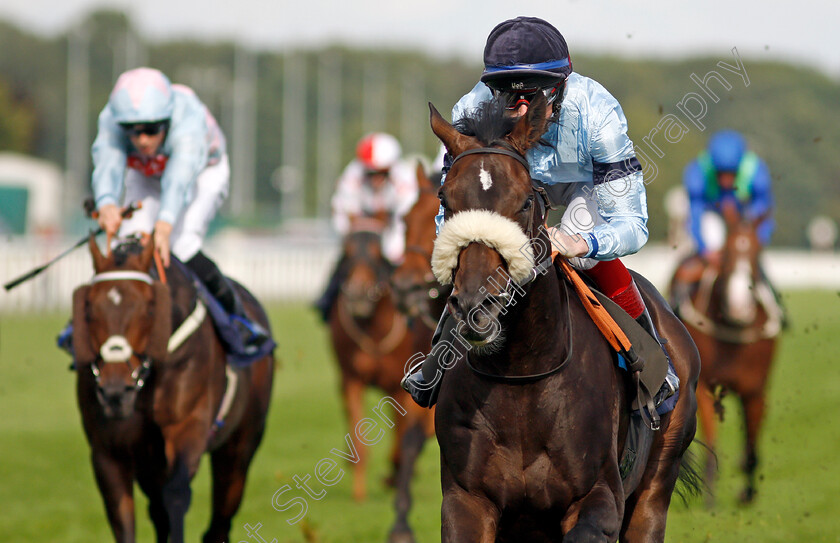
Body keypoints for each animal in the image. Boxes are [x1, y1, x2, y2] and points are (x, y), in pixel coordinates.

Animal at [72, 238, 274, 543]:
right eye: (88, 309)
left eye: (149, 308)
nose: (115, 392)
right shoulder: (109, 451)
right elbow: (124, 515)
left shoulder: (188, 428)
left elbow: (176, 496)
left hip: (240, 446)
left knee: (220, 518)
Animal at [328, 219, 434, 540]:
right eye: (347, 251)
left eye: (377, 254)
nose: (358, 295)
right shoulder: (351, 380)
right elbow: (360, 440)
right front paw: (359, 493)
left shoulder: (401, 390)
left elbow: (403, 442)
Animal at [426, 95, 704, 540]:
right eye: (445, 199)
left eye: (525, 201)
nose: (476, 307)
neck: (521, 374)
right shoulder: (466, 500)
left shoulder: (598, 496)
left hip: (655, 486)